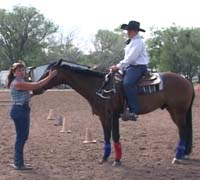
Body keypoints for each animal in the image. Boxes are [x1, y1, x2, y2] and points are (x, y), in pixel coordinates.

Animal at [32, 59, 194, 166]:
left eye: (49, 72)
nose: (35, 88)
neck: (101, 87)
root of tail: (186, 80)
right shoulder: (103, 117)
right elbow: (106, 136)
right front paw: (104, 157)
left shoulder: (113, 115)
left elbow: (115, 136)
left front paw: (116, 160)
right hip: (175, 111)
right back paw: (183, 154)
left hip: (178, 111)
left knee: (183, 130)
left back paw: (177, 157)